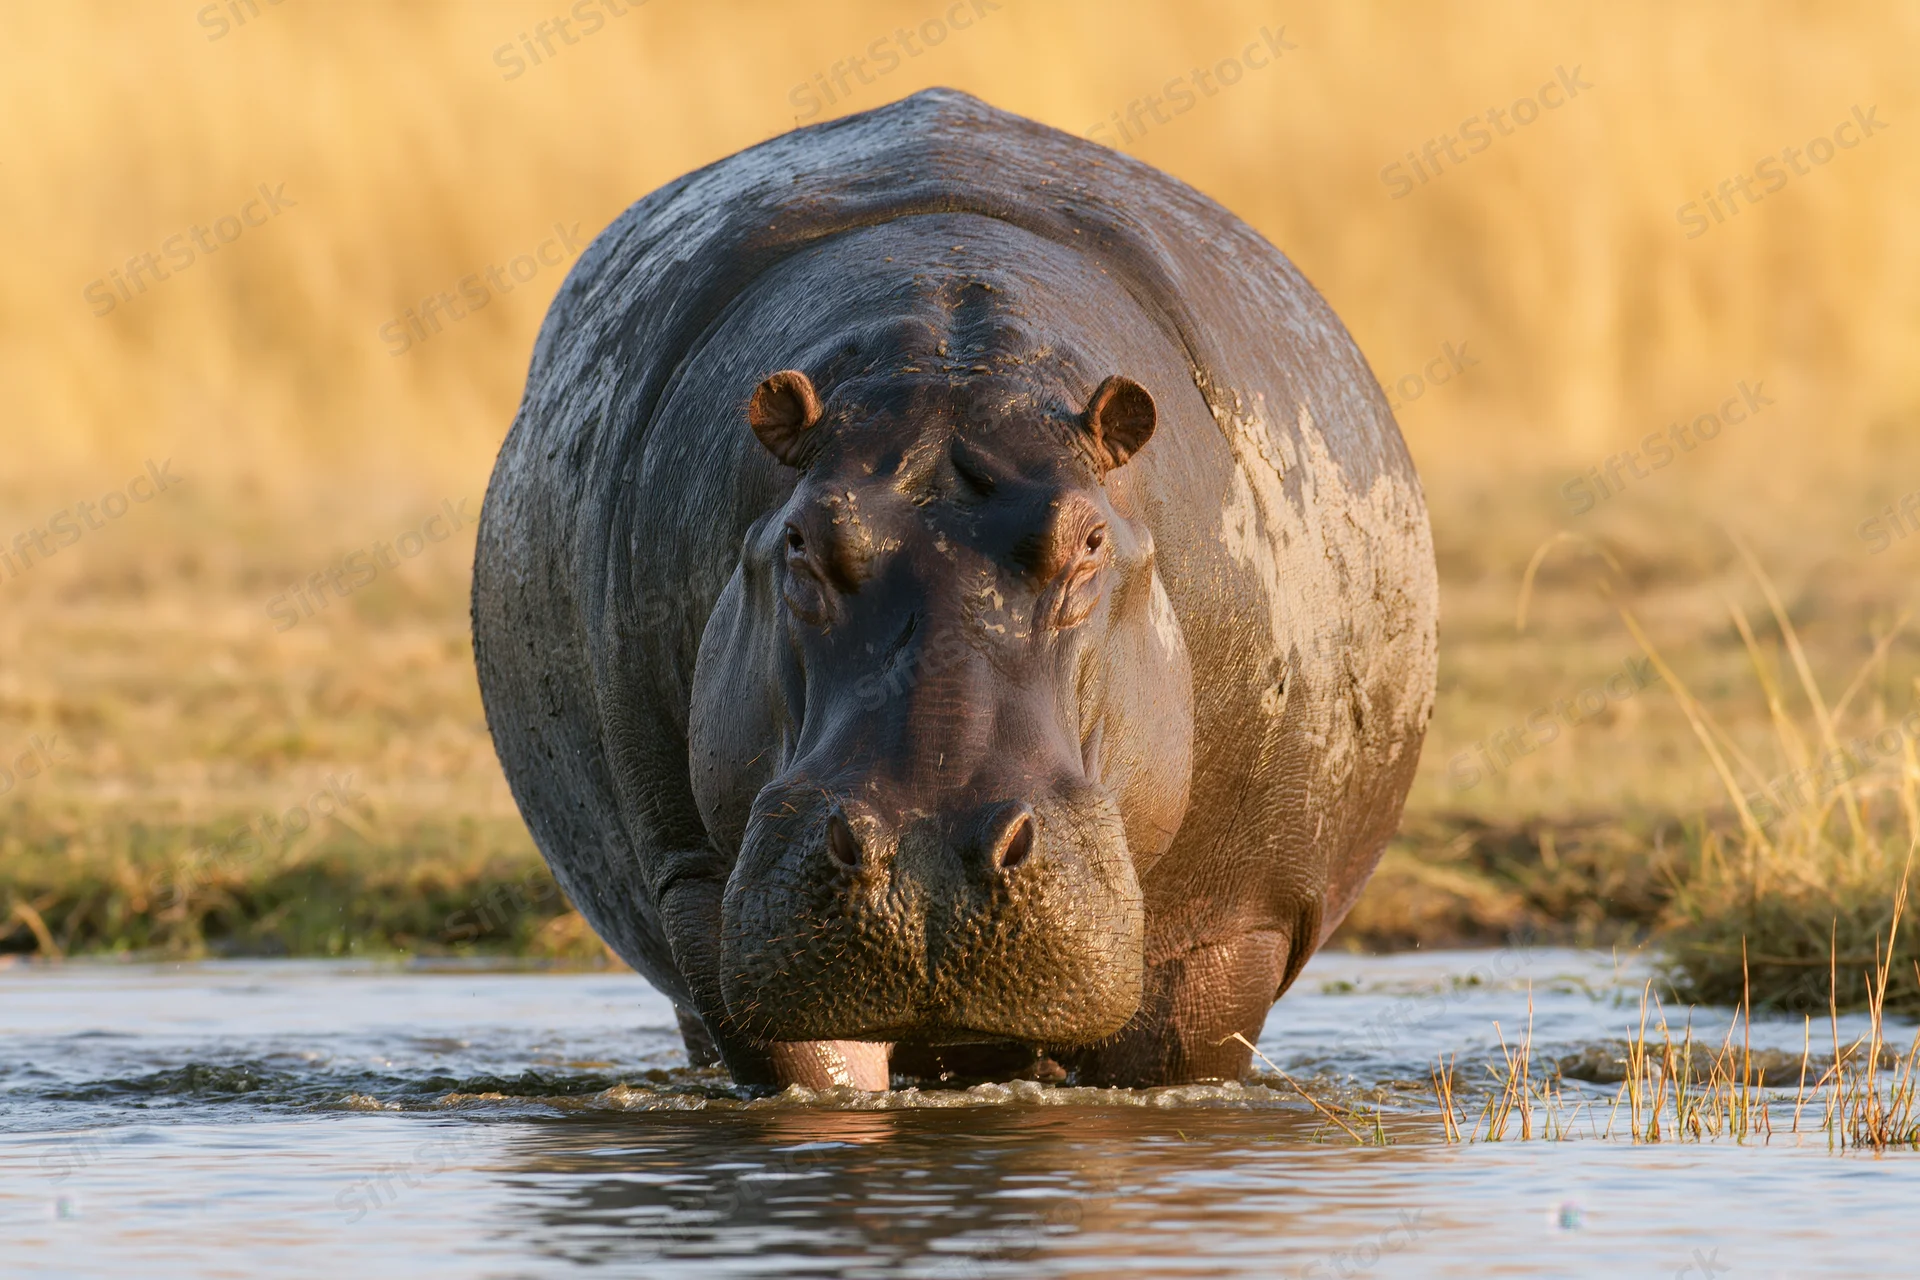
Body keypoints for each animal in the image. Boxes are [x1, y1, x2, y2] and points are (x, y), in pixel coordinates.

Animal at [472, 88, 1437, 1090]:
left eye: (1091, 541)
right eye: (800, 538)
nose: (922, 862)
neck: (952, 361)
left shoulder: (1232, 924)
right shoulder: (708, 892)